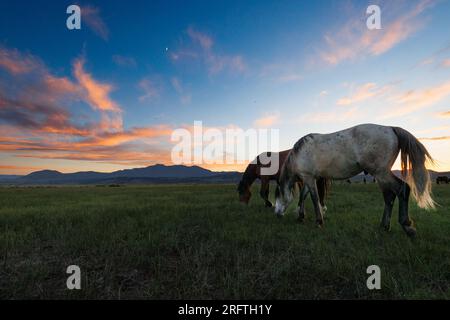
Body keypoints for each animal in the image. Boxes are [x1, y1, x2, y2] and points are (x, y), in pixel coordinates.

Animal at [274, 123, 436, 238]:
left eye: (278, 195)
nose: (277, 214)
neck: (299, 154)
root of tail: (391, 128)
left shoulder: (308, 178)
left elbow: (314, 199)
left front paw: (318, 221)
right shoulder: (311, 178)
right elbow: (303, 196)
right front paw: (301, 217)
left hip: (382, 174)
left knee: (402, 190)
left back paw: (407, 226)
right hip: (381, 176)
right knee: (389, 197)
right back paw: (384, 226)